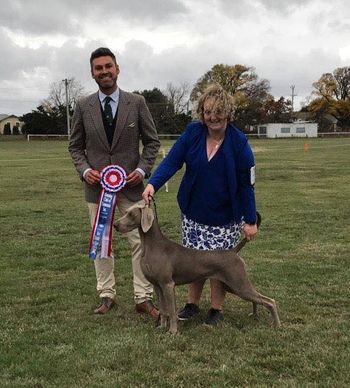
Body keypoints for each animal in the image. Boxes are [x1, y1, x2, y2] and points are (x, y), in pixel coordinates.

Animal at [115, 200, 282, 334]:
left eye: (131, 214)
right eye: (126, 212)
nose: (116, 224)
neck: (152, 246)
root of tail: (232, 251)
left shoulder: (168, 284)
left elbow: (171, 311)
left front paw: (172, 332)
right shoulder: (157, 285)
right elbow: (163, 310)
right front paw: (161, 327)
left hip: (239, 283)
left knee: (269, 301)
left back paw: (277, 325)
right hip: (232, 286)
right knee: (257, 299)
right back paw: (254, 315)